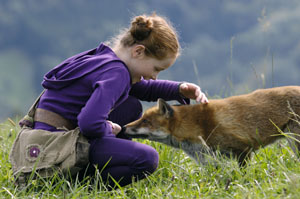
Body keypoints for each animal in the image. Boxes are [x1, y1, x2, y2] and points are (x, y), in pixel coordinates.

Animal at [124, 86, 300, 166]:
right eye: (142, 118)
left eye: (145, 121)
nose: (123, 127)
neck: (199, 125)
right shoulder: (210, 162)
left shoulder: (242, 149)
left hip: (294, 140)